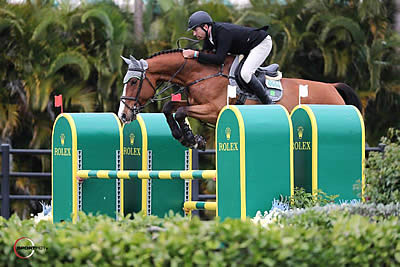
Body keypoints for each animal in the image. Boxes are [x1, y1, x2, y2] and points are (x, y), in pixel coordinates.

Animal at [119, 48, 362, 151]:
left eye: (133, 82)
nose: (123, 115)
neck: (202, 73)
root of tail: (333, 87)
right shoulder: (195, 104)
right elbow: (171, 107)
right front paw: (187, 137)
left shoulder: (214, 110)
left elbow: (179, 111)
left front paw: (191, 138)